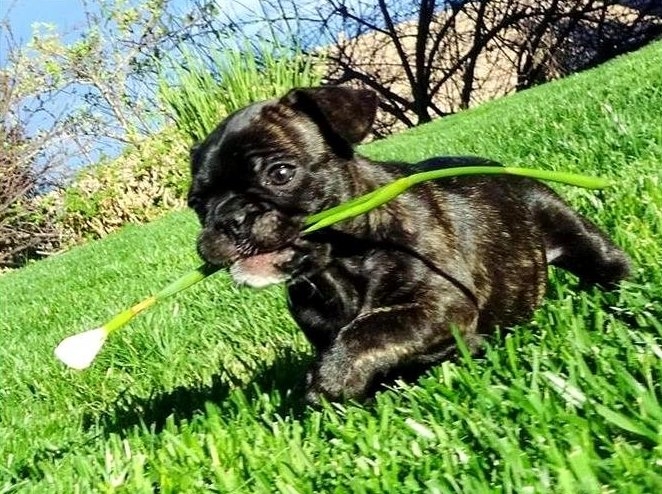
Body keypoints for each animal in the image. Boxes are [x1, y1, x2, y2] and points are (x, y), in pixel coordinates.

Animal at [188, 86, 632, 402]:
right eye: (196, 204)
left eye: (280, 173)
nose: (231, 218)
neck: (339, 266)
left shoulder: (440, 304)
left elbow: (370, 329)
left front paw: (329, 381)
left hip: (569, 227)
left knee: (606, 262)